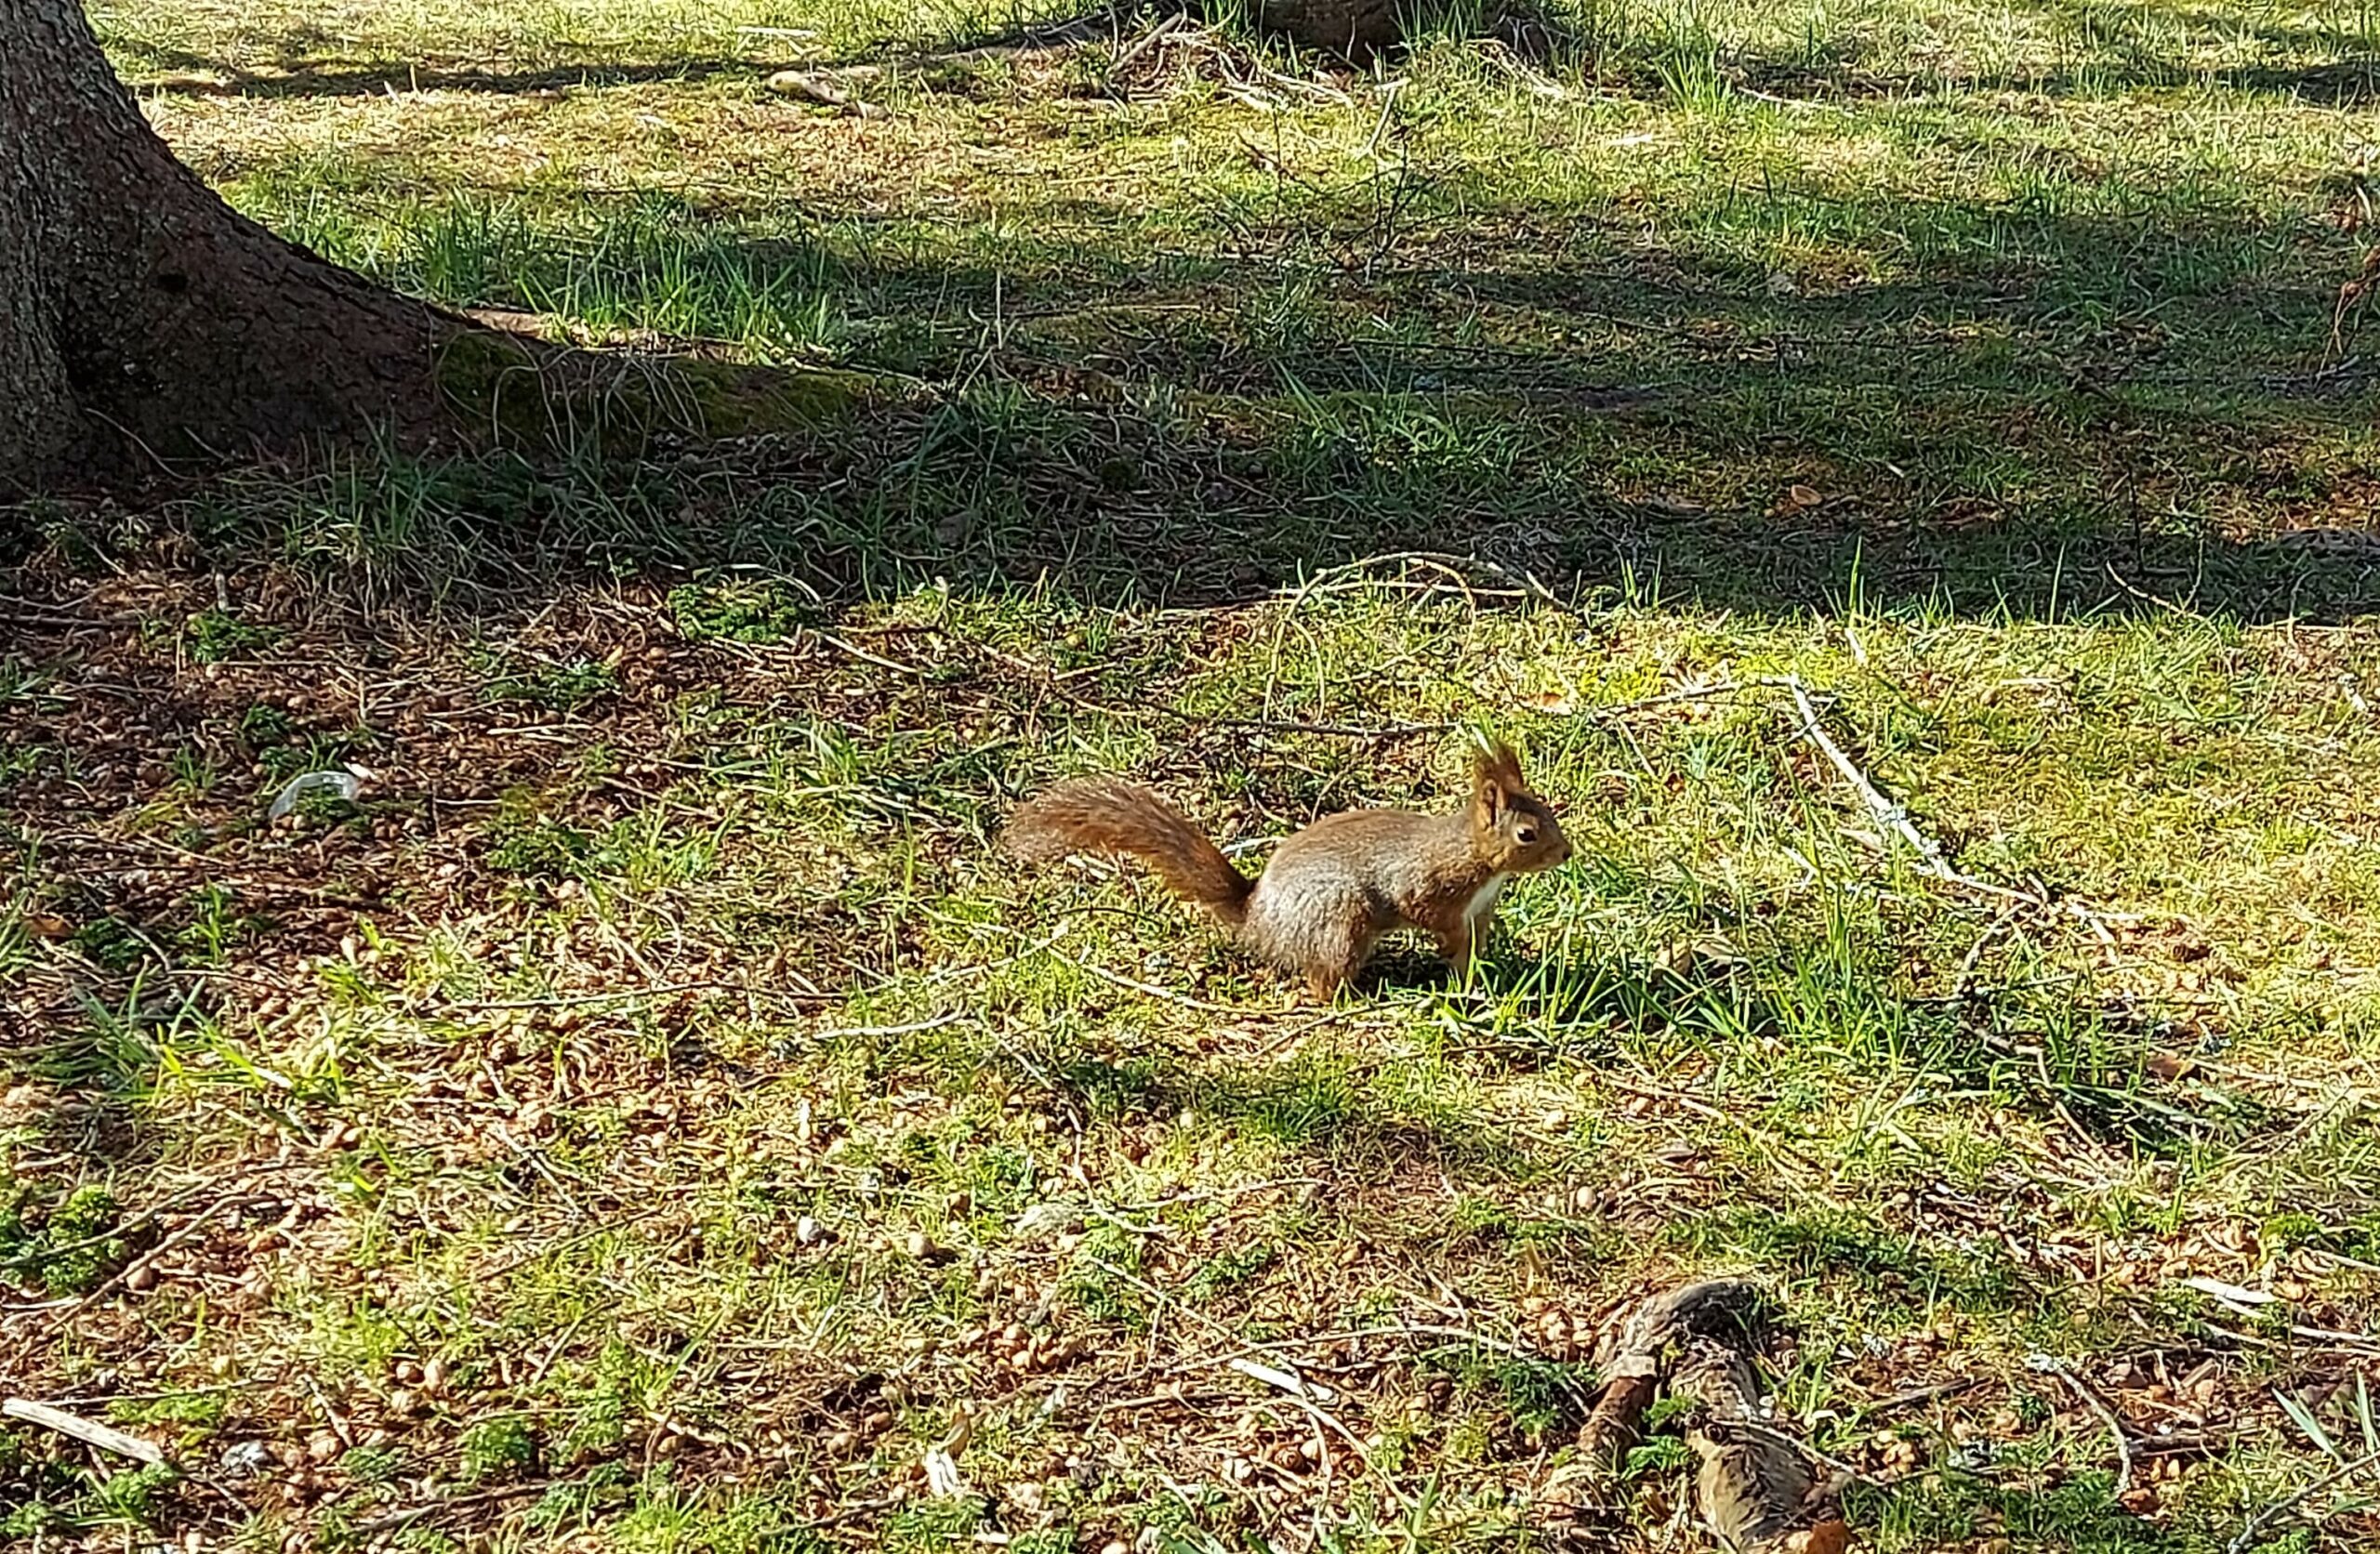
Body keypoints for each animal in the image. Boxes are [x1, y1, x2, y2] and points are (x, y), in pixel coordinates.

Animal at [999, 737, 1570, 994]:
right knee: (1324, 979)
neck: (1475, 856)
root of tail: (1258, 916)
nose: (1567, 854)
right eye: (1527, 833)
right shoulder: (1428, 886)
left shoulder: (1480, 910)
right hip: (1341, 920)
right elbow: (1432, 918)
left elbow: (1473, 948)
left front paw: (1478, 979)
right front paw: (1455, 967)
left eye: (1548, 812)